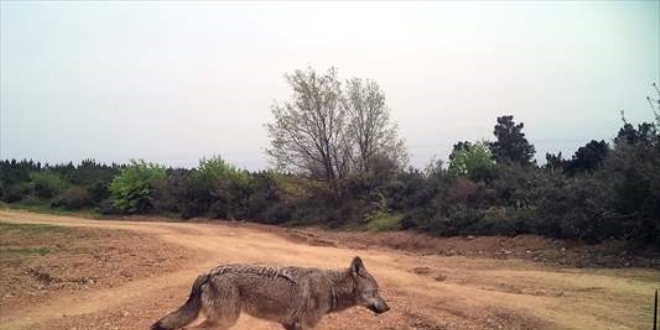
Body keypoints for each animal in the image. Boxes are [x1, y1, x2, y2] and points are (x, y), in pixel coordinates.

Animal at [152, 256, 390, 328]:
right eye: (377, 291)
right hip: (225, 321)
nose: (389, 308)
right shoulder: (307, 325)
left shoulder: (290, 324)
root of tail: (208, 272)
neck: (331, 286)